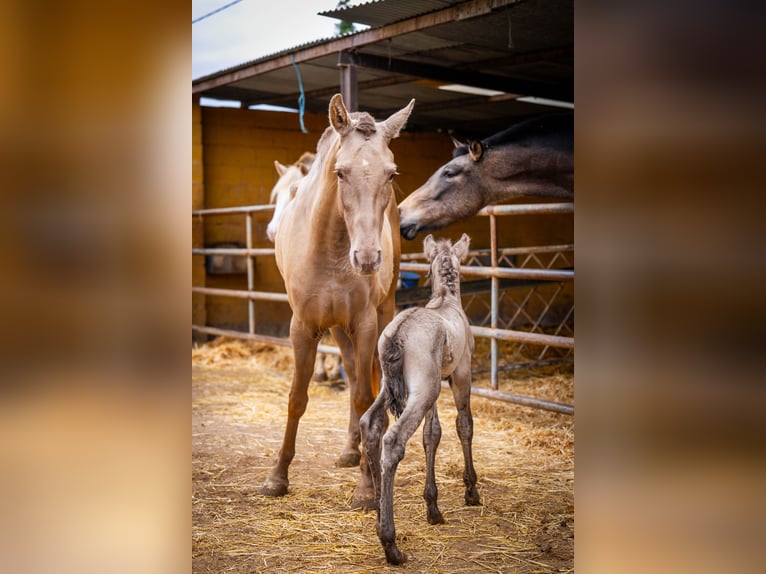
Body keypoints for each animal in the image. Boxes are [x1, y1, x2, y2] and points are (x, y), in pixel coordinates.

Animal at [266, 95, 420, 512]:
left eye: (390, 174)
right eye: (340, 172)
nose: (366, 258)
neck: (332, 247)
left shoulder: (365, 324)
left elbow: (366, 398)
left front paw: (367, 488)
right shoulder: (303, 327)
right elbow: (296, 398)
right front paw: (277, 476)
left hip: (379, 314)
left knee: (363, 383)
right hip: (336, 327)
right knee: (350, 372)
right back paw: (351, 449)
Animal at [362, 234, 480, 568]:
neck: (446, 300)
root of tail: (397, 334)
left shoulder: (434, 388)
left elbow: (432, 434)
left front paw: (433, 506)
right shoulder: (461, 375)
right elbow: (464, 425)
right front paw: (471, 491)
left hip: (397, 388)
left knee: (370, 425)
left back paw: (378, 516)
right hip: (424, 390)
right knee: (393, 440)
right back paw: (390, 544)